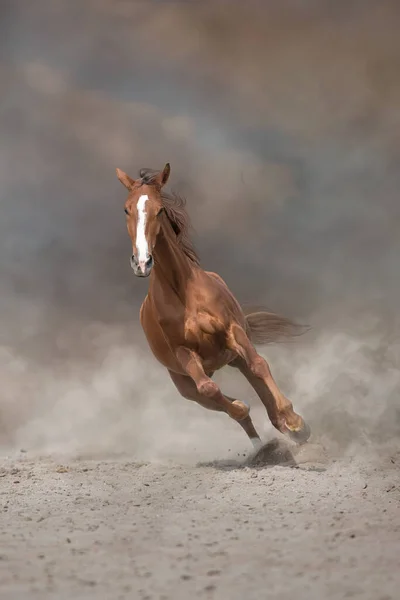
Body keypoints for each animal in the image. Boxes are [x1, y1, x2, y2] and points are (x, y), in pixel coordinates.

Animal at [114, 162, 310, 448]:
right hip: (184, 384)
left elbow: (260, 364)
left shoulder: (232, 332)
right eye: (126, 209)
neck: (183, 291)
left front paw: (295, 423)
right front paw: (245, 408)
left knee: (256, 377)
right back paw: (260, 446)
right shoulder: (184, 353)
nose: (141, 263)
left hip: (234, 356)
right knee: (215, 398)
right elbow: (212, 391)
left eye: (159, 209)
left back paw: (288, 427)